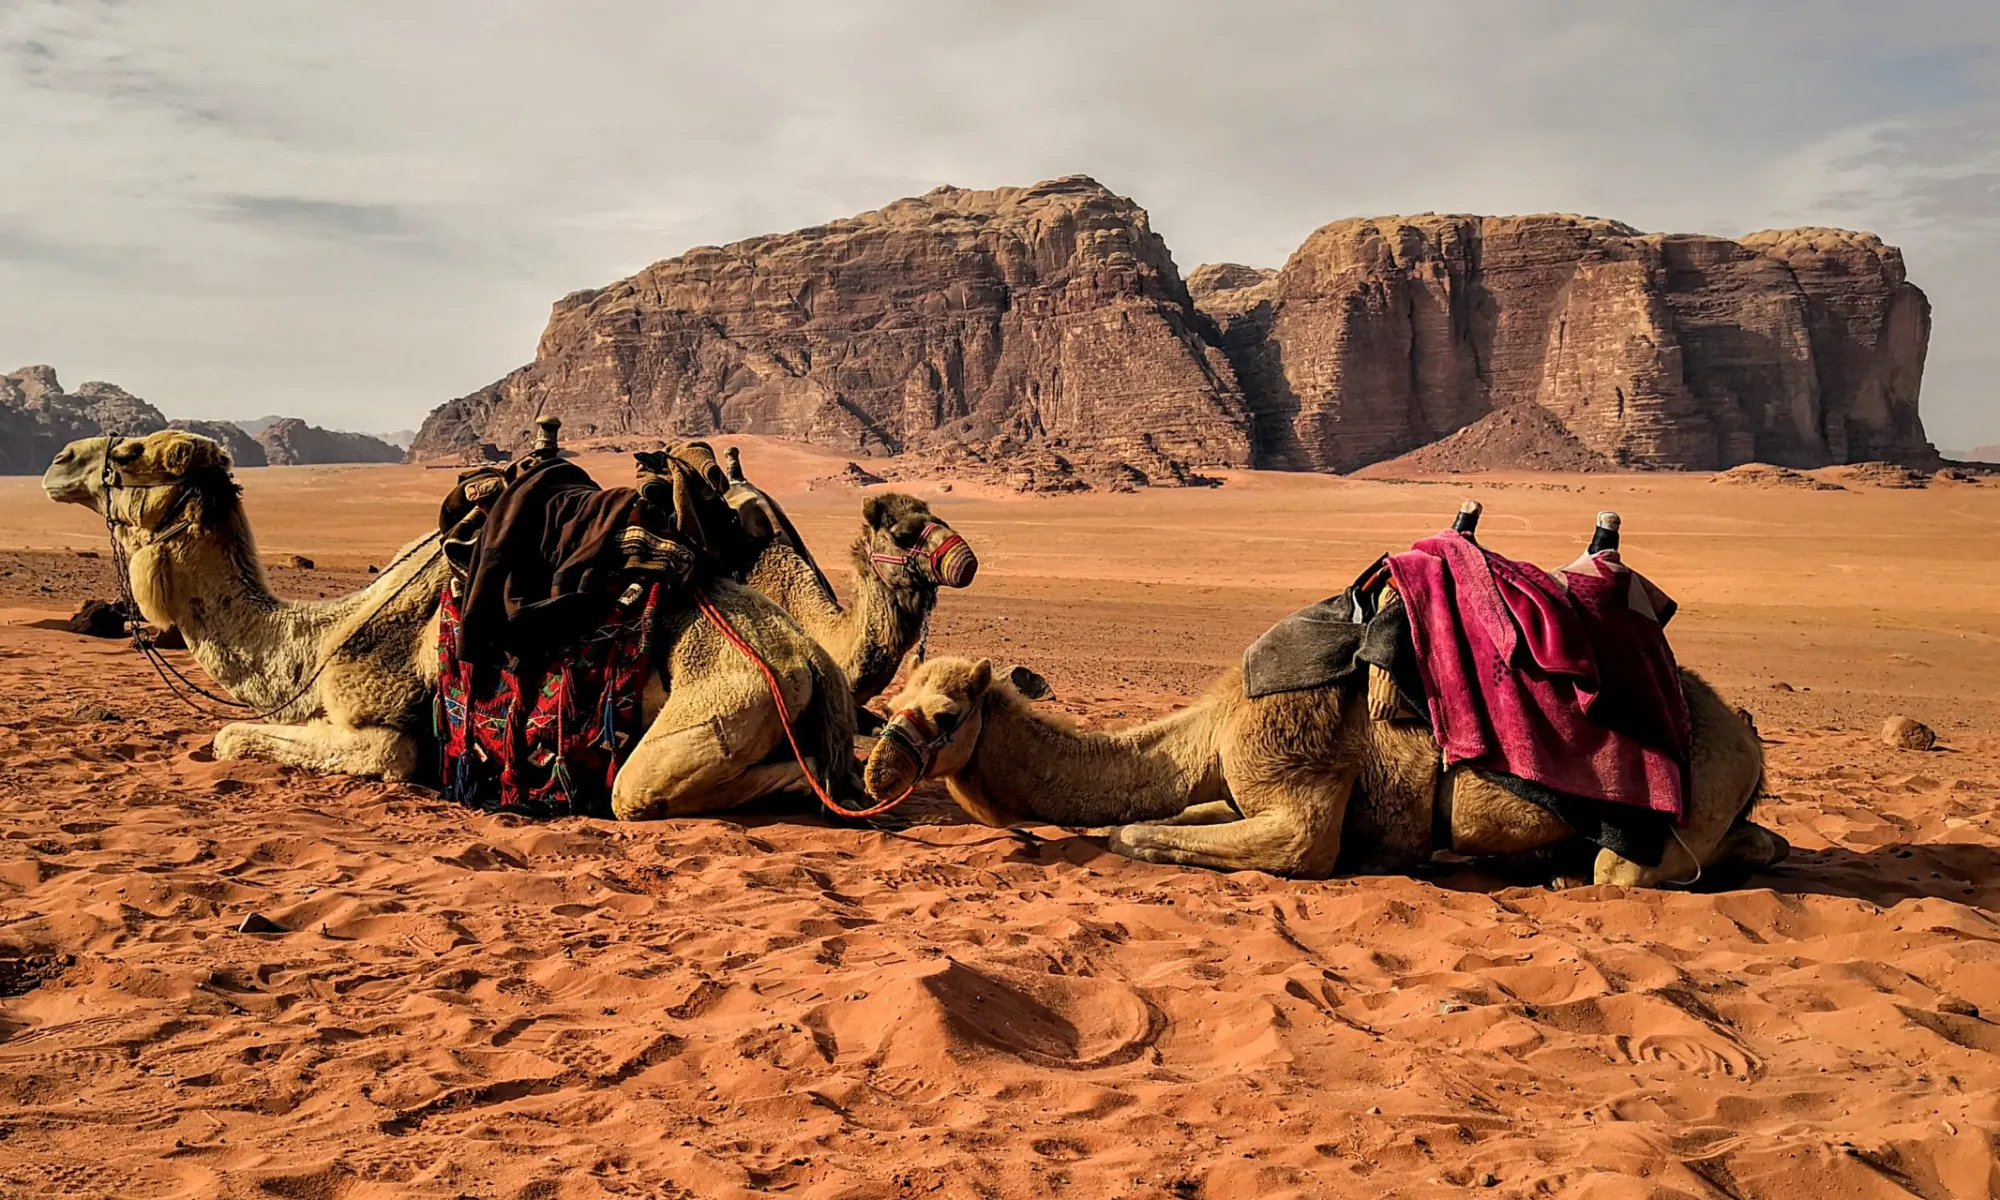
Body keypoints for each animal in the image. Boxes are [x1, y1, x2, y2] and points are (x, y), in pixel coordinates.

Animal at [43, 431, 855, 820]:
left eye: (128, 454)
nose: (56, 462)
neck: (315, 639)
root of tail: (812, 660)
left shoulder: (380, 729)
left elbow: (233, 737)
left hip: (723, 701)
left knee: (648, 788)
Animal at [862, 656, 1791, 889]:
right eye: (891, 698)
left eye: (944, 716)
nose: (874, 775)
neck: (1213, 726)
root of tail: (1745, 734)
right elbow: (1170, 823)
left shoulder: (1296, 794)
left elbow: (1134, 832)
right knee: (1763, 842)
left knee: (1623, 871)